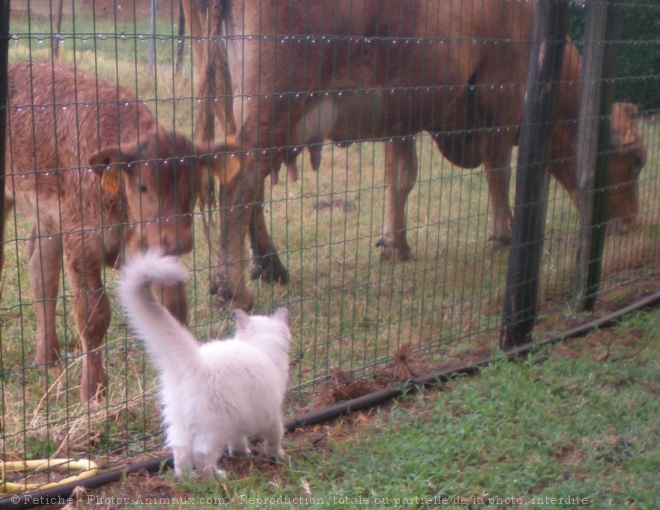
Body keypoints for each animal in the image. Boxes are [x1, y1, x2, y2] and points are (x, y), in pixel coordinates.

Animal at [1, 61, 235, 400]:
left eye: (195, 186)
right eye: (143, 186)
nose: (178, 240)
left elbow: (174, 307)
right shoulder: (81, 242)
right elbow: (93, 315)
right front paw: (93, 391)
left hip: (48, 218)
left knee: (40, 269)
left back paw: (48, 359)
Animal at [116, 251, 292, 478]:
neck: (261, 347)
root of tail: (193, 360)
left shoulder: (241, 423)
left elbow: (238, 440)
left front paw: (241, 453)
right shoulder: (271, 414)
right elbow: (275, 437)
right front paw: (277, 455)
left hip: (179, 421)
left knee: (180, 451)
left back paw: (187, 478)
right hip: (213, 425)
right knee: (201, 452)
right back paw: (214, 476)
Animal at [196, 0, 644, 310]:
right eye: (639, 161)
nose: (632, 224)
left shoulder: (399, 112)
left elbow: (401, 178)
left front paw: (395, 244)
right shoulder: (502, 94)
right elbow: (498, 171)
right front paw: (505, 233)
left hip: (237, 104)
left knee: (246, 187)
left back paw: (267, 266)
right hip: (276, 100)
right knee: (239, 186)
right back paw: (233, 289)